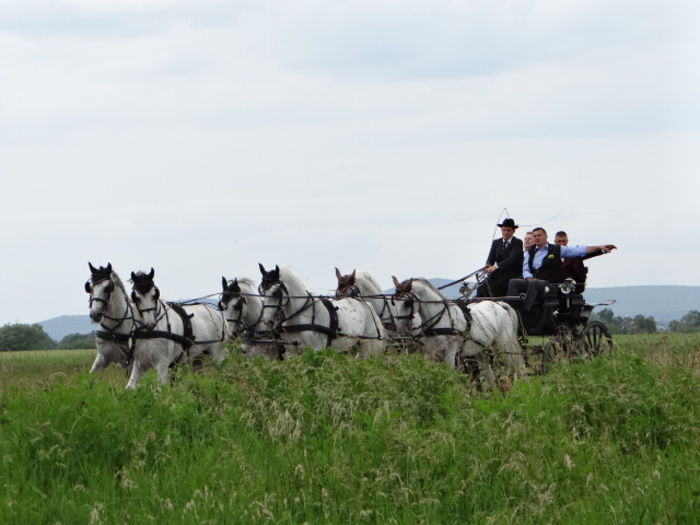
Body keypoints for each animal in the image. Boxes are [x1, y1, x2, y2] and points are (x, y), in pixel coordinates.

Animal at [392, 276, 524, 386]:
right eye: (394, 302)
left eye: (407, 302)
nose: (398, 328)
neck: (442, 317)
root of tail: (500, 305)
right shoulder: (429, 353)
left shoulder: (450, 353)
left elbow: (449, 376)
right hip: (482, 350)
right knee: (490, 374)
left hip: (503, 346)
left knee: (508, 370)